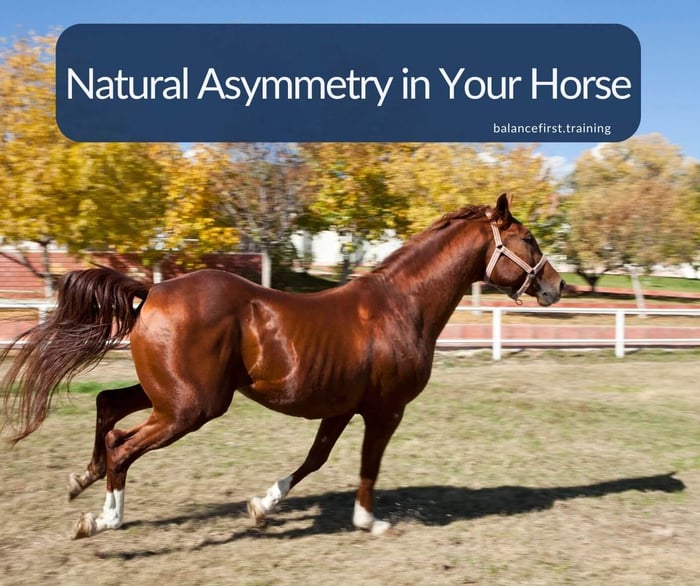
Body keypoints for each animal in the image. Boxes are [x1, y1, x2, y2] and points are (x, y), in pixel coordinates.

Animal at [1, 194, 564, 539]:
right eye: (530, 241)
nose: (556, 286)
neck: (402, 306)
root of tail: (154, 290)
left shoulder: (342, 407)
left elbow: (314, 459)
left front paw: (262, 506)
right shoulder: (385, 410)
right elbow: (368, 465)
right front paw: (369, 522)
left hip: (168, 394)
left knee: (107, 406)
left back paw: (83, 479)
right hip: (190, 407)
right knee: (122, 443)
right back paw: (104, 519)